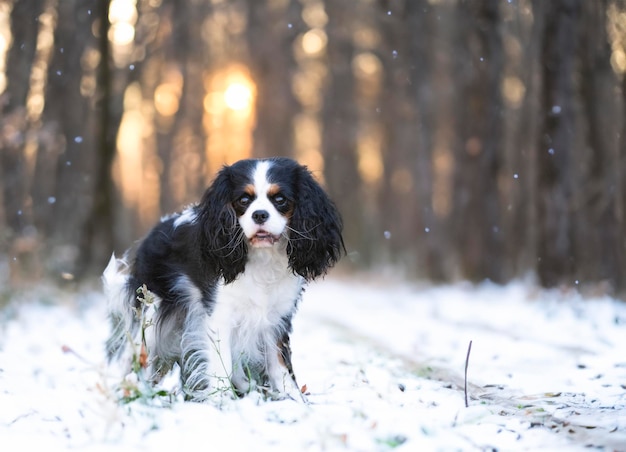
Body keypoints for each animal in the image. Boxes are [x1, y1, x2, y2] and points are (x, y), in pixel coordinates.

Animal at [102, 157, 342, 400]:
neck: (263, 258)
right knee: (135, 353)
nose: (259, 214)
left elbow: (279, 364)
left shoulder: (276, 319)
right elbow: (222, 363)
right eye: (244, 200)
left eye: (280, 199)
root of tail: (153, 233)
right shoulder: (219, 316)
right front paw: (222, 400)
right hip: (152, 312)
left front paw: (293, 398)